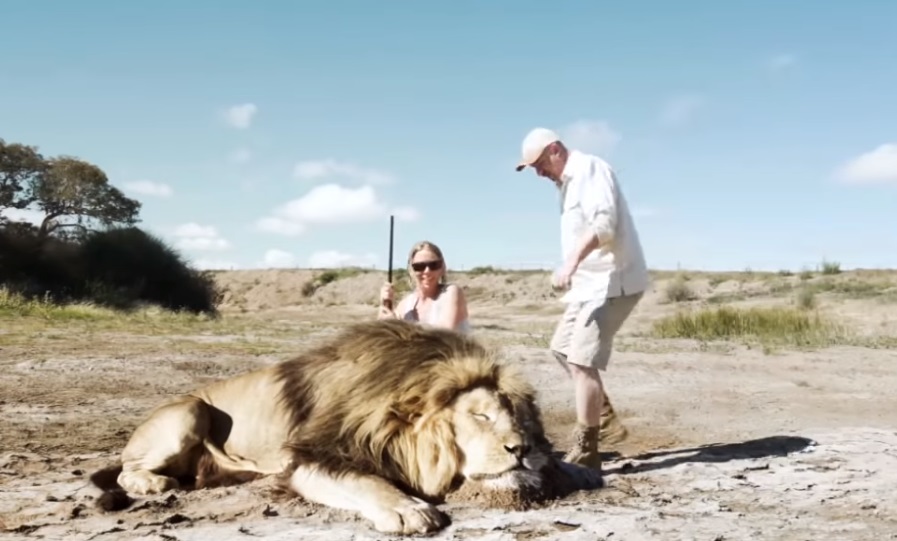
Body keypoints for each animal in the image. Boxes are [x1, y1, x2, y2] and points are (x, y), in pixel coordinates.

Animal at [88, 318, 601, 535]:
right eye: (479, 416)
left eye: (520, 418)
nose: (520, 449)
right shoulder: (309, 458)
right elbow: (364, 480)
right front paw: (408, 509)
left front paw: (579, 468)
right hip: (190, 411)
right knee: (125, 469)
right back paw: (153, 483)